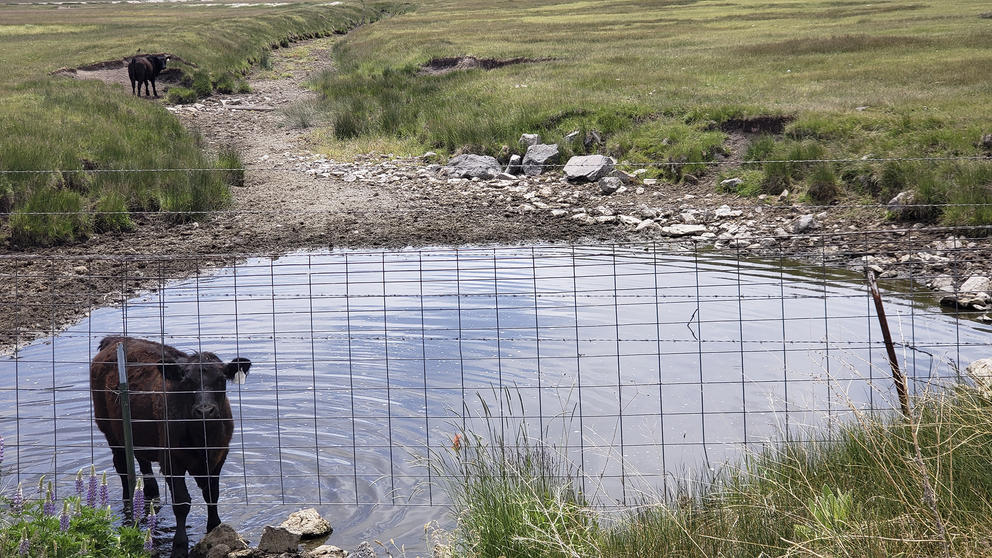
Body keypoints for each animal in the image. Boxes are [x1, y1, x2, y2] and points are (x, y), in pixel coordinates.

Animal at [90, 336, 252, 558]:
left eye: (220, 380)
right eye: (187, 382)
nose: (205, 410)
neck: (202, 438)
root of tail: (116, 339)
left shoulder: (218, 457)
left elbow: (212, 494)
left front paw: (214, 527)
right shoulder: (171, 460)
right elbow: (182, 503)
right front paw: (180, 545)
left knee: (143, 462)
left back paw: (150, 492)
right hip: (111, 431)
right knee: (122, 468)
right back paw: (128, 505)